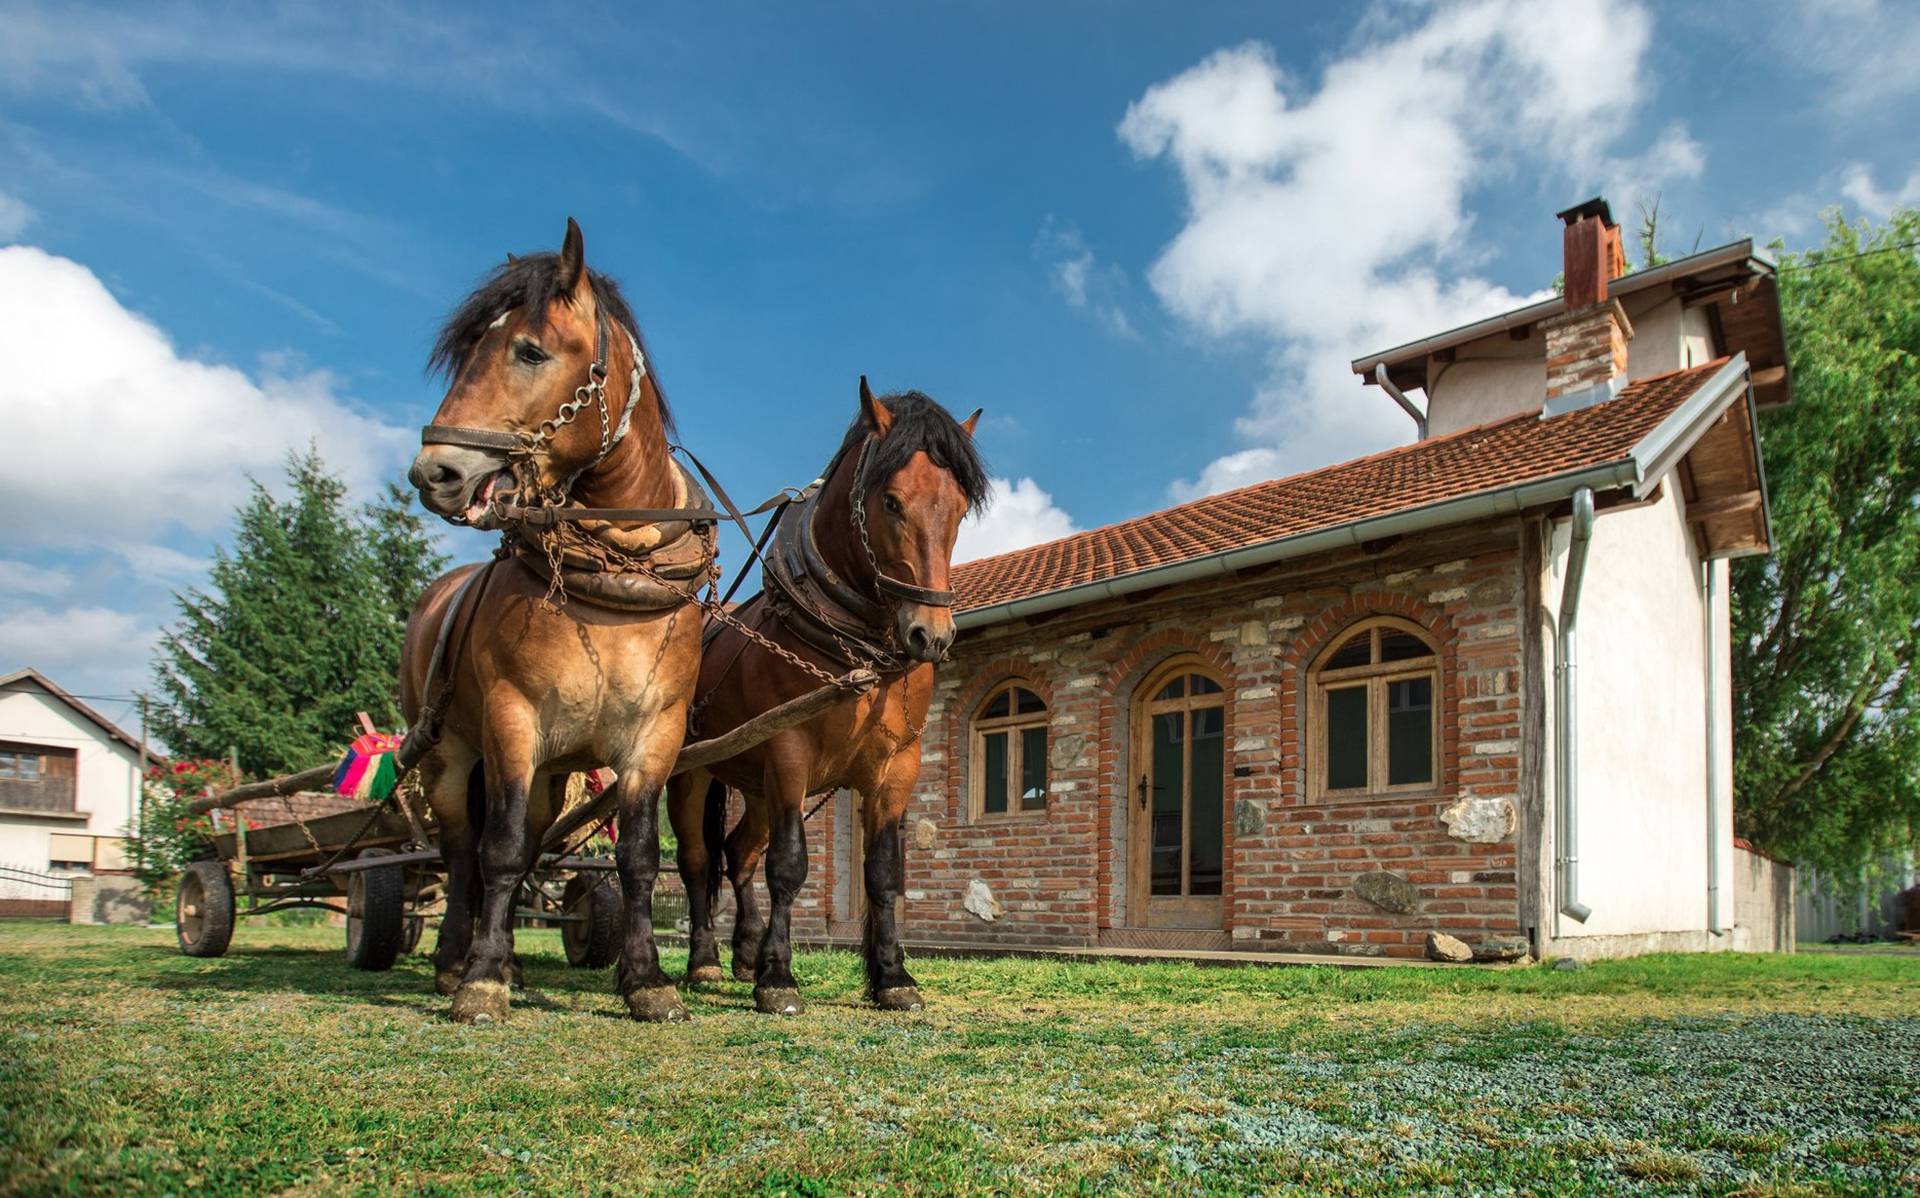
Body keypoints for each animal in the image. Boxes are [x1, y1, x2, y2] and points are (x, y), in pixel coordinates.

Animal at [401, 219, 710, 1021]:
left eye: (530, 350)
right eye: (467, 351)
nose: (434, 474)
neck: (615, 587)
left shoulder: (654, 739)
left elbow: (638, 858)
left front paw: (647, 980)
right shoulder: (514, 720)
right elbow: (501, 850)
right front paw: (479, 981)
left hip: (548, 775)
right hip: (451, 755)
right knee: (463, 850)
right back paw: (458, 960)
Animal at [664, 382, 990, 1013]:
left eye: (960, 508)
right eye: (891, 502)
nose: (932, 636)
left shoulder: (898, 765)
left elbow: (883, 872)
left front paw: (892, 976)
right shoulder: (790, 753)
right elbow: (790, 865)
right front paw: (778, 979)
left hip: (756, 784)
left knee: (739, 853)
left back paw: (743, 953)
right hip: (693, 774)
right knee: (697, 861)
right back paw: (705, 961)